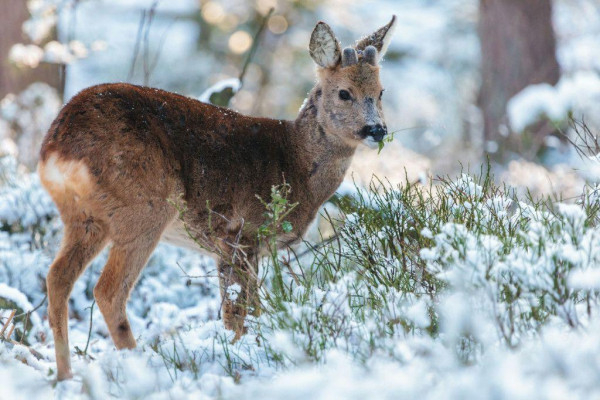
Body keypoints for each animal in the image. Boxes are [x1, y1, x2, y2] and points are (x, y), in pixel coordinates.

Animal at [36, 15, 394, 380]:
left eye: (380, 92)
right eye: (344, 93)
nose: (377, 130)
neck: (294, 162)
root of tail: (57, 146)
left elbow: (253, 308)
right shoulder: (239, 232)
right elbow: (237, 311)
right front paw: (240, 357)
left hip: (85, 218)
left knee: (57, 278)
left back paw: (65, 375)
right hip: (143, 207)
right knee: (108, 290)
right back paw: (139, 368)